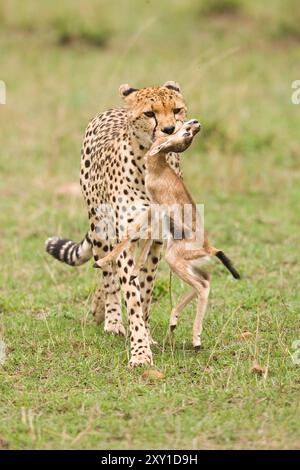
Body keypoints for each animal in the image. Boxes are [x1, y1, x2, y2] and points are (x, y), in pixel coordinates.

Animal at [46, 80, 188, 368]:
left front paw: (146, 336)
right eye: (150, 113)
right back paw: (111, 321)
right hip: (99, 227)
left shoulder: (157, 240)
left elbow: (145, 288)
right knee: (107, 274)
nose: (169, 130)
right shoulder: (126, 238)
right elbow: (130, 292)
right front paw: (140, 350)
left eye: (177, 109)